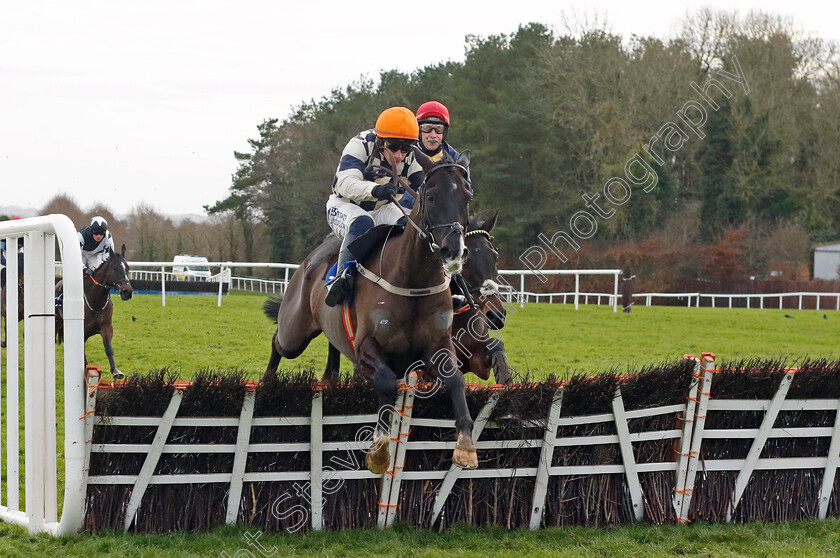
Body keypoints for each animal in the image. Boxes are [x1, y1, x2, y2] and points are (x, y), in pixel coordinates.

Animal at [55, 245, 134, 380]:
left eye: (127, 267)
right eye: (114, 268)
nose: (127, 292)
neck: (96, 301)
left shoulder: (106, 327)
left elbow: (108, 348)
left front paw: (116, 371)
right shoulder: (81, 330)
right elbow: (81, 352)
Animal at [266, 149, 476, 472]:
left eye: (466, 196)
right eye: (430, 196)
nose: (454, 251)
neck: (411, 278)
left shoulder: (437, 346)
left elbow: (455, 379)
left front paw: (465, 445)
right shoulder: (366, 348)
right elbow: (387, 381)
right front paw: (379, 447)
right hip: (295, 332)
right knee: (278, 341)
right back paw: (266, 382)